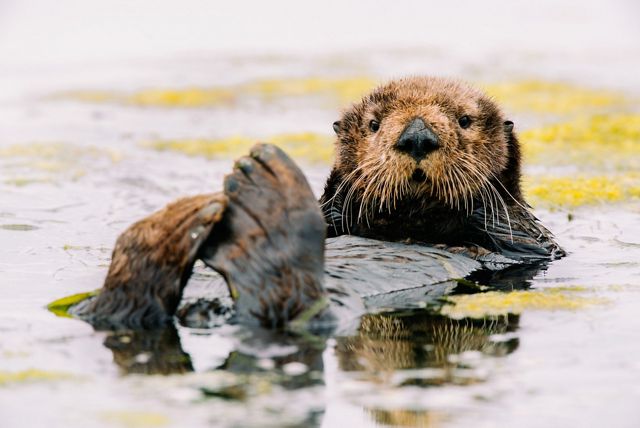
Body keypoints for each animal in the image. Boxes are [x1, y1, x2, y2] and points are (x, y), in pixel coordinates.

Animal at [57, 77, 564, 332]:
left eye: (464, 120)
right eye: (375, 123)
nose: (417, 135)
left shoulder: (530, 244)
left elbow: (514, 231)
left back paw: (263, 204)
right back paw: (171, 227)